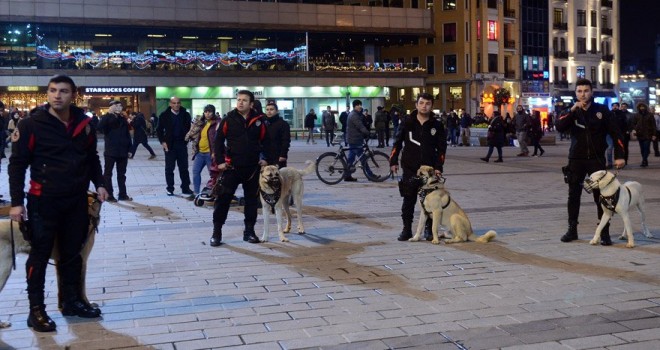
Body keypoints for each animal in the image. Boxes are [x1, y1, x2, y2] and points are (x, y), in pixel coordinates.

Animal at [0, 193, 102, 326]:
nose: (98, 194)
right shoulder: (81, 261)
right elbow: (81, 288)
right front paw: (86, 305)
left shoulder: (61, 262)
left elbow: (62, 287)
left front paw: (65, 307)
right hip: (5, 268)